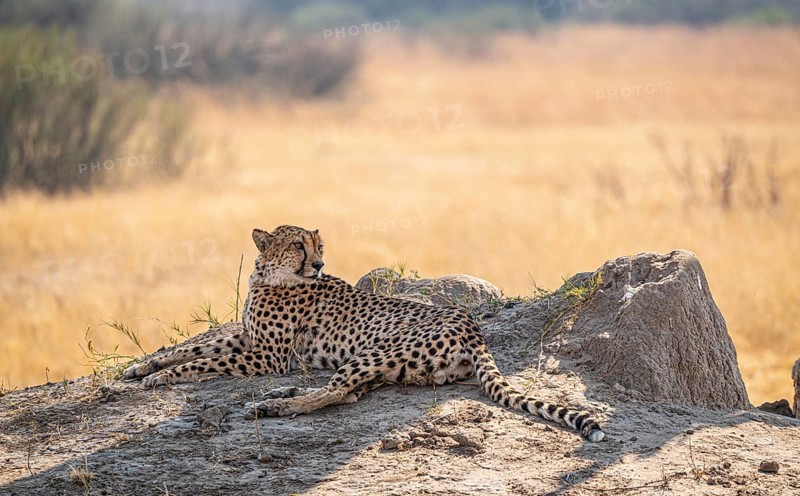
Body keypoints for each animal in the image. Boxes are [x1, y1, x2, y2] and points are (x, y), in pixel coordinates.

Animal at [124, 225, 606, 441]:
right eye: (299, 245)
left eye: (319, 247)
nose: (318, 264)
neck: (271, 276)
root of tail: (472, 326)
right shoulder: (249, 339)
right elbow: (196, 347)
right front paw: (144, 367)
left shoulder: (268, 356)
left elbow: (205, 359)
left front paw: (159, 377)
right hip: (389, 364)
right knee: (350, 393)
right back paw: (280, 396)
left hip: (375, 350)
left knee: (336, 392)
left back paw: (275, 406)